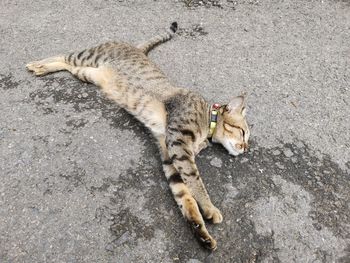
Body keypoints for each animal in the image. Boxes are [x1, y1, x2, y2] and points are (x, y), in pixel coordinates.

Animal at [27, 21, 250, 251]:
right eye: (243, 132)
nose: (246, 148)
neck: (208, 120)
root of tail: (137, 49)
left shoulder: (170, 154)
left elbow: (184, 196)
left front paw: (201, 232)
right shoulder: (178, 144)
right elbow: (196, 182)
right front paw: (210, 208)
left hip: (87, 73)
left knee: (68, 66)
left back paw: (43, 67)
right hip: (88, 56)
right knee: (64, 55)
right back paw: (39, 64)